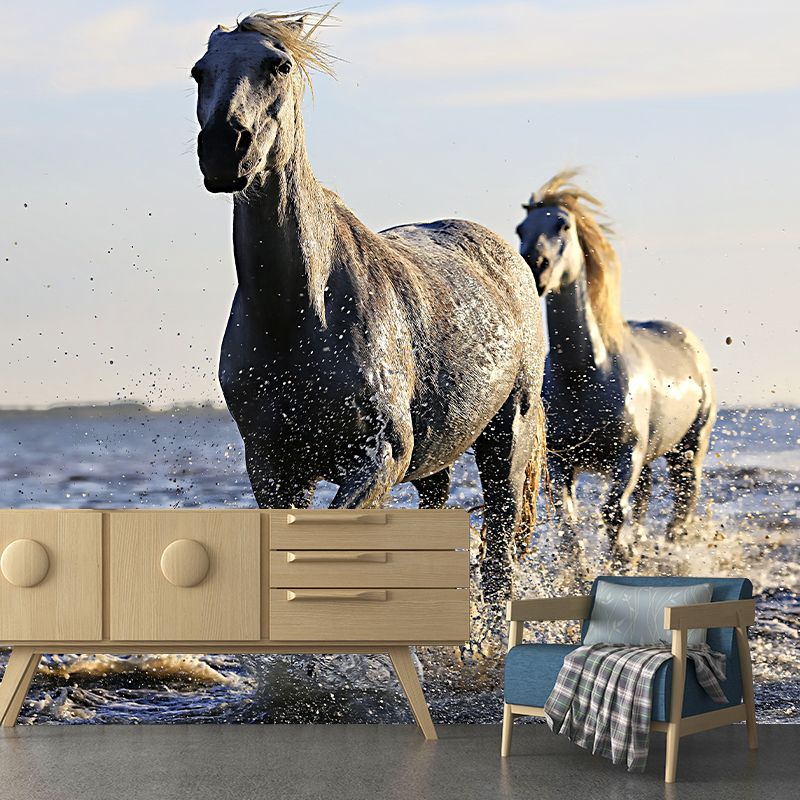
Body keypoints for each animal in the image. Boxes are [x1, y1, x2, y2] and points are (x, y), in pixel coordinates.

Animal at [191, 12, 546, 601]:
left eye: (278, 64)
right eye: (200, 71)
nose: (224, 148)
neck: (301, 316)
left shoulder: (380, 456)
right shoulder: (273, 467)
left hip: (506, 440)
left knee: (500, 556)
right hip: (436, 462)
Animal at [515, 170, 716, 553]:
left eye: (563, 225)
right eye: (521, 228)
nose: (535, 266)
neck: (584, 374)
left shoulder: (627, 455)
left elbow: (612, 514)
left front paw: (621, 557)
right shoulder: (562, 462)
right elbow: (569, 525)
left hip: (688, 448)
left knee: (683, 503)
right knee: (645, 500)